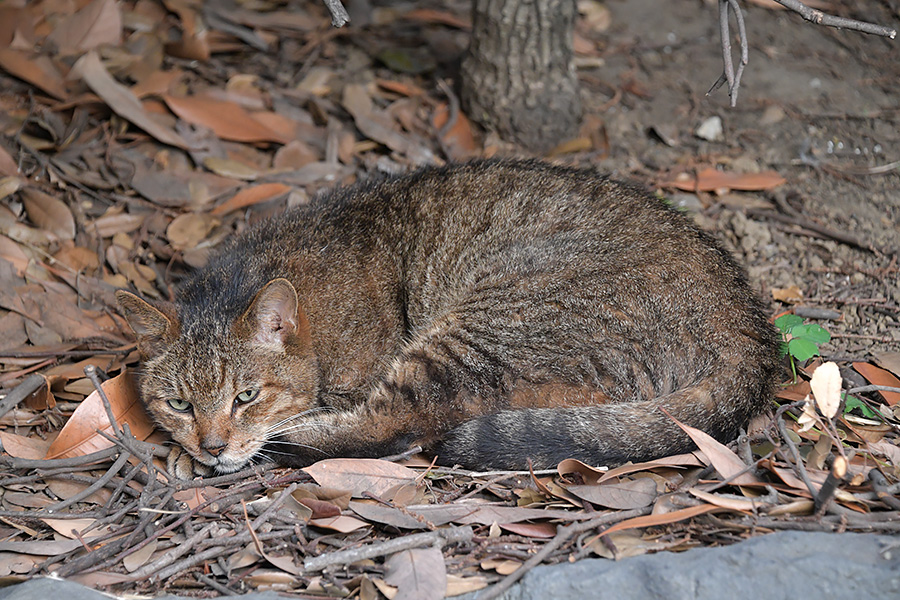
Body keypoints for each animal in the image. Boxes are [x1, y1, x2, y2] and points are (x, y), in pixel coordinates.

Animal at [118, 158, 780, 478]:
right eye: (178, 404)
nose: (210, 447)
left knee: (401, 424)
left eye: (247, 396)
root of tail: (749, 325)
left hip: (482, 331)